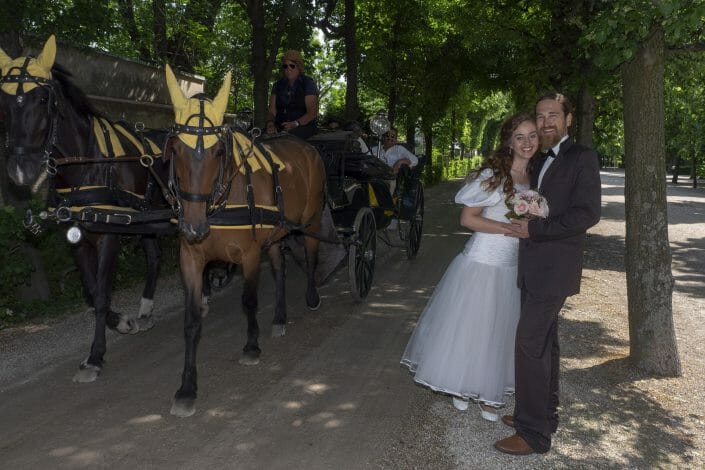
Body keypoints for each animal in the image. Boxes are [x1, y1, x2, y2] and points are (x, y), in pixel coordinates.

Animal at [0, 35, 174, 382]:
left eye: (43, 98)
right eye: (3, 100)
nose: (20, 170)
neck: (86, 162)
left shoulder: (108, 234)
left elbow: (103, 292)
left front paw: (95, 355)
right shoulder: (77, 236)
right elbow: (93, 294)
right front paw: (123, 322)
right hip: (144, 216)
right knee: (155, 256)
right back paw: (146, 309)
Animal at [164, 64, 326, 416]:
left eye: (218, 151)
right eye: (176, 150)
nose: (194, 227)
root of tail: (306, 148)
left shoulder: (249, 254)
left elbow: (249, 300)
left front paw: (251, 346)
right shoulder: (191, 258)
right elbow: (191, 320)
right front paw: (186, 388)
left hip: (311, 220)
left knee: (311, 254)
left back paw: (312, 296)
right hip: (276, 233)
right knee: (280, 269)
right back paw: (279, 317)